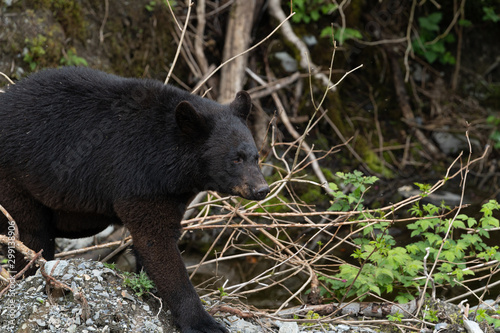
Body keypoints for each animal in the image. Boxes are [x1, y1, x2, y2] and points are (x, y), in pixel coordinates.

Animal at [0, 66, 270, 330]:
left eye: (255, 156)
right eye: (235, 159)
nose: (262, 189)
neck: (173, 160)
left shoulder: (172, 193)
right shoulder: (140, 179)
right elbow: (156, 244)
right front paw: (202, 321)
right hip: (16, 181)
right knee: (32, 234)